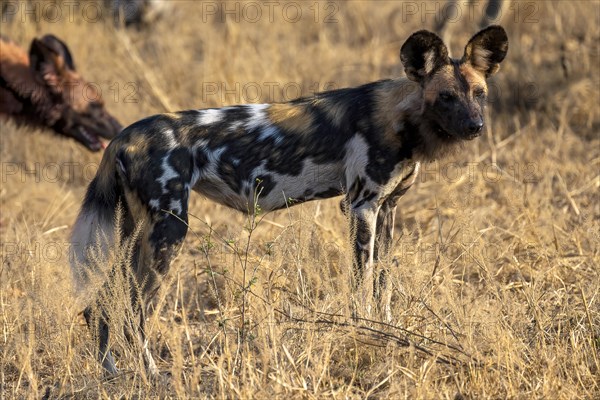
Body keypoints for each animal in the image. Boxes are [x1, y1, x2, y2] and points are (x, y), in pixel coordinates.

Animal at [70, 26, 508, 374]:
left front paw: (389, 331)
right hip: (169, 232)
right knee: (134, 312)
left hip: (136, 234)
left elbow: (383, 286)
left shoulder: (386, 210)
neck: (404, 119)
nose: (475, 126)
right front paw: (368, 334)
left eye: (479, 93)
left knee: (101, 304)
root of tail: (124, 136)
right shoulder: (360, 207)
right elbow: (362, 288)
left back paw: (111, 374)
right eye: (446, 96)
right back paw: (151, 375)